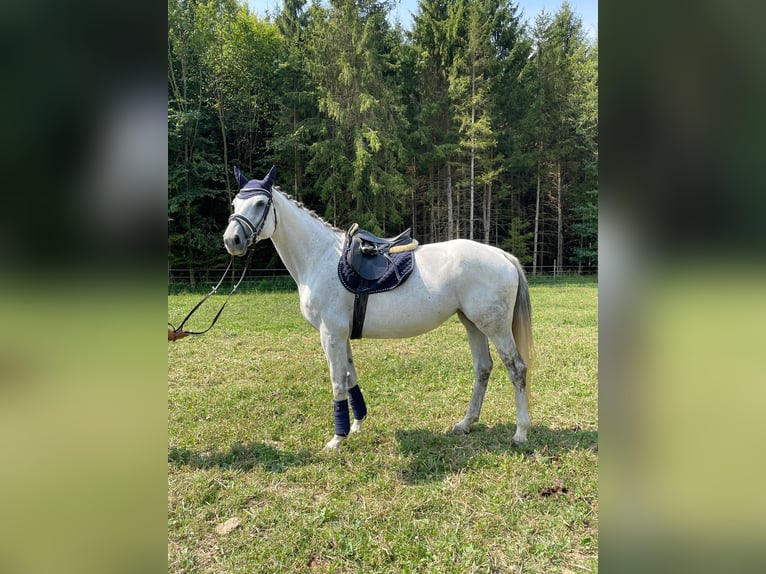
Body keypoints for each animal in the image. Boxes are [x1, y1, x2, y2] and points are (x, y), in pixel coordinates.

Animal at [222, 169, 536, 452]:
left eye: (260, 204)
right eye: (235, 204)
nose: (232, 240)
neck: (320, 257)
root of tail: (502, 255)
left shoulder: (330, 334)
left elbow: (338, 382)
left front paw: (337, 439)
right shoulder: (341, 335)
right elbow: (350, 377)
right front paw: (357, 425)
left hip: (495, 327)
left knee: (516, 368)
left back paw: (521, 432)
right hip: (472, 324)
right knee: (483, 368)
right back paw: (466, 423)